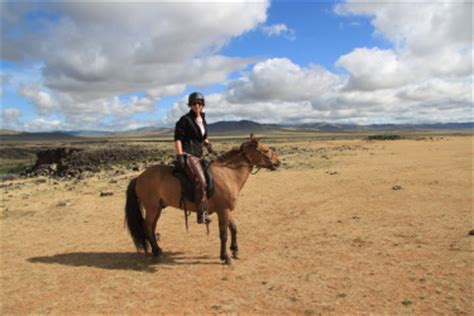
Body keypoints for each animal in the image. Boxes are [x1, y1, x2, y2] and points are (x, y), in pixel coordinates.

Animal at [124, 135, 280, 266]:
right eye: (266, 150)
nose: (278, 161)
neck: (228, 174)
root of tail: (139, 177)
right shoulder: (223, 210)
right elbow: (224, 234)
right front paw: (226, 257)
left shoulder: (226, 210)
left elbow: (234, 228)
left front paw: (235, 250)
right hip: (152, 208)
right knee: (147, 226)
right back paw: (156, 251)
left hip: (157, 208)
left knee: (151, 227)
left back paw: (157, 249)